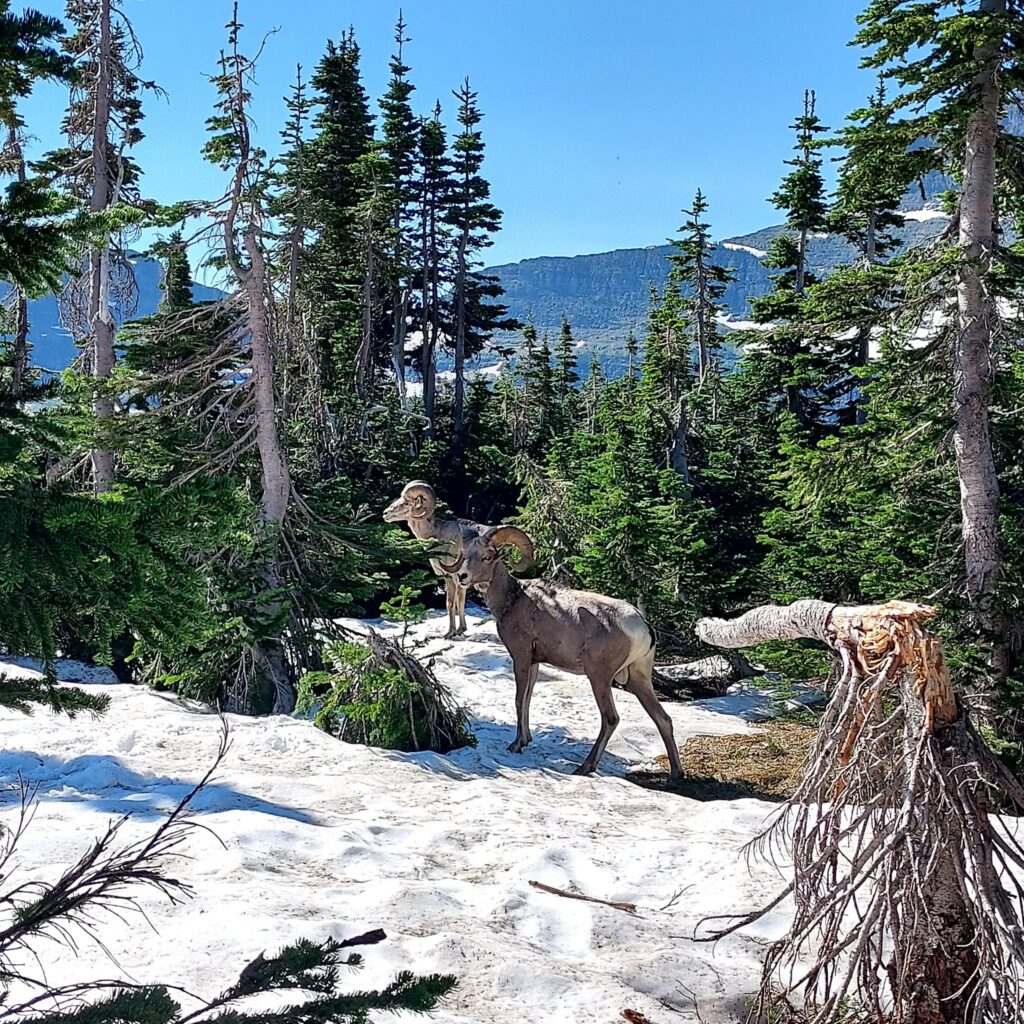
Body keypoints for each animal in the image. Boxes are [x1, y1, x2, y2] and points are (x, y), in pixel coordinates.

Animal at [383, 481, 481, 639]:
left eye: (406, 502)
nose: (385, 513)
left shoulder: (450, 576)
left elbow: (450, 603)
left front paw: (450, 633)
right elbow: (460, 601)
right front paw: (460, 630)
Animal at [440, 524, 683, 779]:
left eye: (486, 557)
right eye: (467, 555)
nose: (462, 577)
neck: (513, 599)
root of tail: (642, 626)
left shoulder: (521, 657)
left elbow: (519, 700)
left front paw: (516, 745)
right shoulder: (535, 662)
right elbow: (528, 699)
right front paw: (526, 740)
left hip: (600, 677)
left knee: (610, 719)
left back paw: (584, 767)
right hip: (639, 679)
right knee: (663, 719)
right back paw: (675, 774)